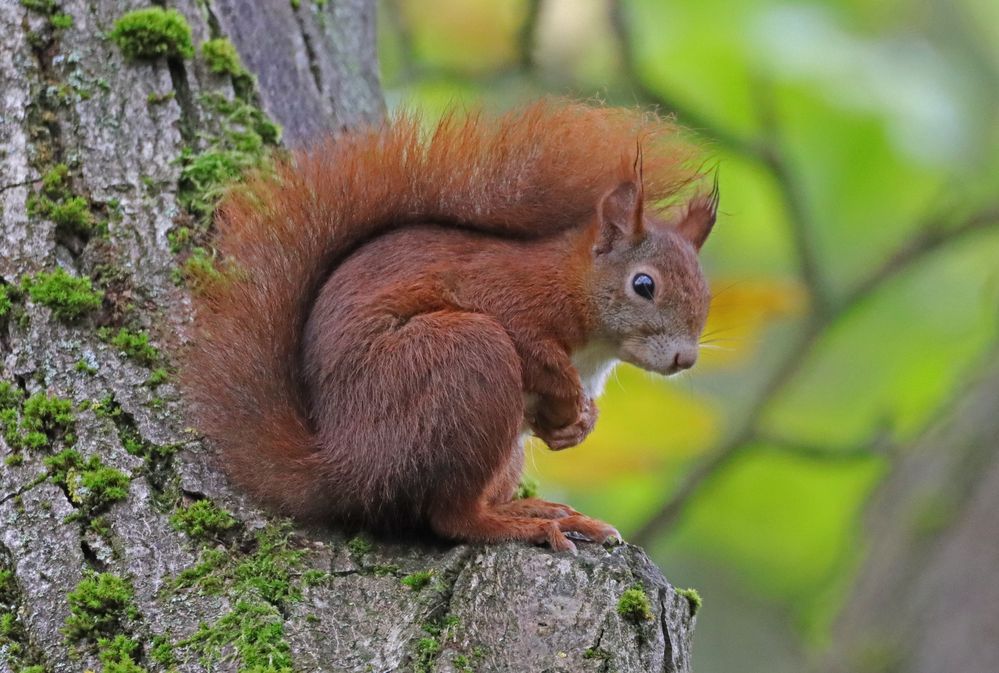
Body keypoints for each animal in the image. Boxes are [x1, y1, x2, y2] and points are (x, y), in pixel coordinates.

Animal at [184, 100, 720, 552]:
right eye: (644, 285)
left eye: (705, 290)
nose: (685, 358)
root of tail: (342, 466)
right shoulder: (504, 295)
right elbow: (536, 350)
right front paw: (570, 398)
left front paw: (580, 423)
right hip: (462, 359)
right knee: (453, 518)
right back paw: (528, 525)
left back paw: (537, 509)